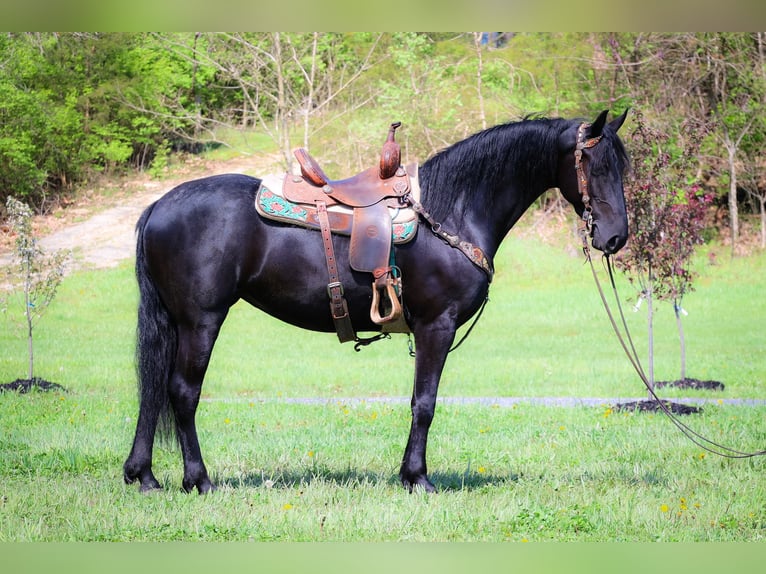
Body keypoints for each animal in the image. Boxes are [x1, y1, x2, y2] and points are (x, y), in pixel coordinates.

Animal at [124, 111, 632, 496]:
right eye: (595, 165)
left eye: (620, 168)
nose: (615, 238)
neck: (452, 212)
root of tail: (158, 207)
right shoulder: (436, 327)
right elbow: (424, 403)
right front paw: (418, 479)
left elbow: (417, 401)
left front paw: (409, 475)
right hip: (201, 321)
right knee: (182, 392)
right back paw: (198, 480)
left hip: (175, 322)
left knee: (153, 390)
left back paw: (143, 476)